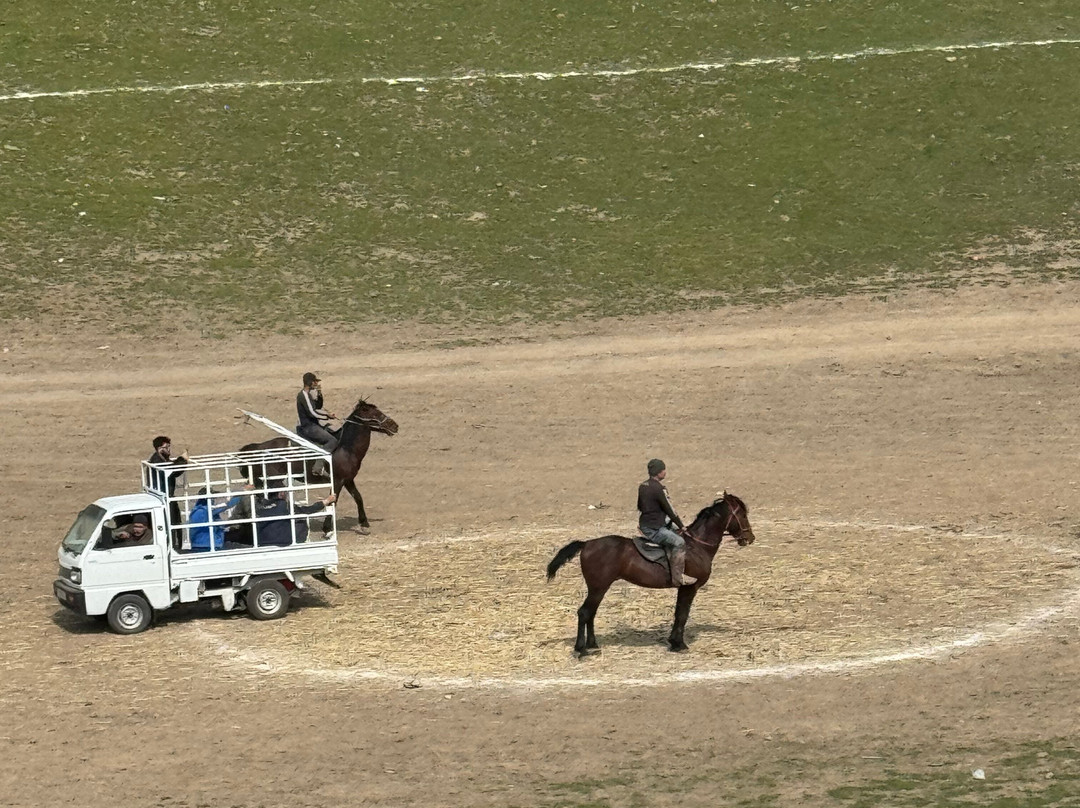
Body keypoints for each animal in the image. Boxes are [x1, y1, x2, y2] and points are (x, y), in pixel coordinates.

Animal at [239, 398, 399, 534]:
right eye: (375, 413)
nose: (394, 425)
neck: (346, 448)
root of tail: (257, 447)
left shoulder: (348, 480)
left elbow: (358, 497)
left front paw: (364, 524)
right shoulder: (337, 481)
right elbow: (333, 501)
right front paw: (327, 528)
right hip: (274, 480)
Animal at [546, 492, 755, 656]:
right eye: (742, 514)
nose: (750, 538)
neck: (696, 546)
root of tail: (587, 544)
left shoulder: (683, 588)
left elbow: (679, 613)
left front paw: (674, 642)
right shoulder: (690, 587)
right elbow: (682, 614)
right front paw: (679, 644)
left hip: (598, 588)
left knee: (591, 613)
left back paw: (593, 645)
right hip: (598, 587)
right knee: (584, 612)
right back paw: (581, 649)